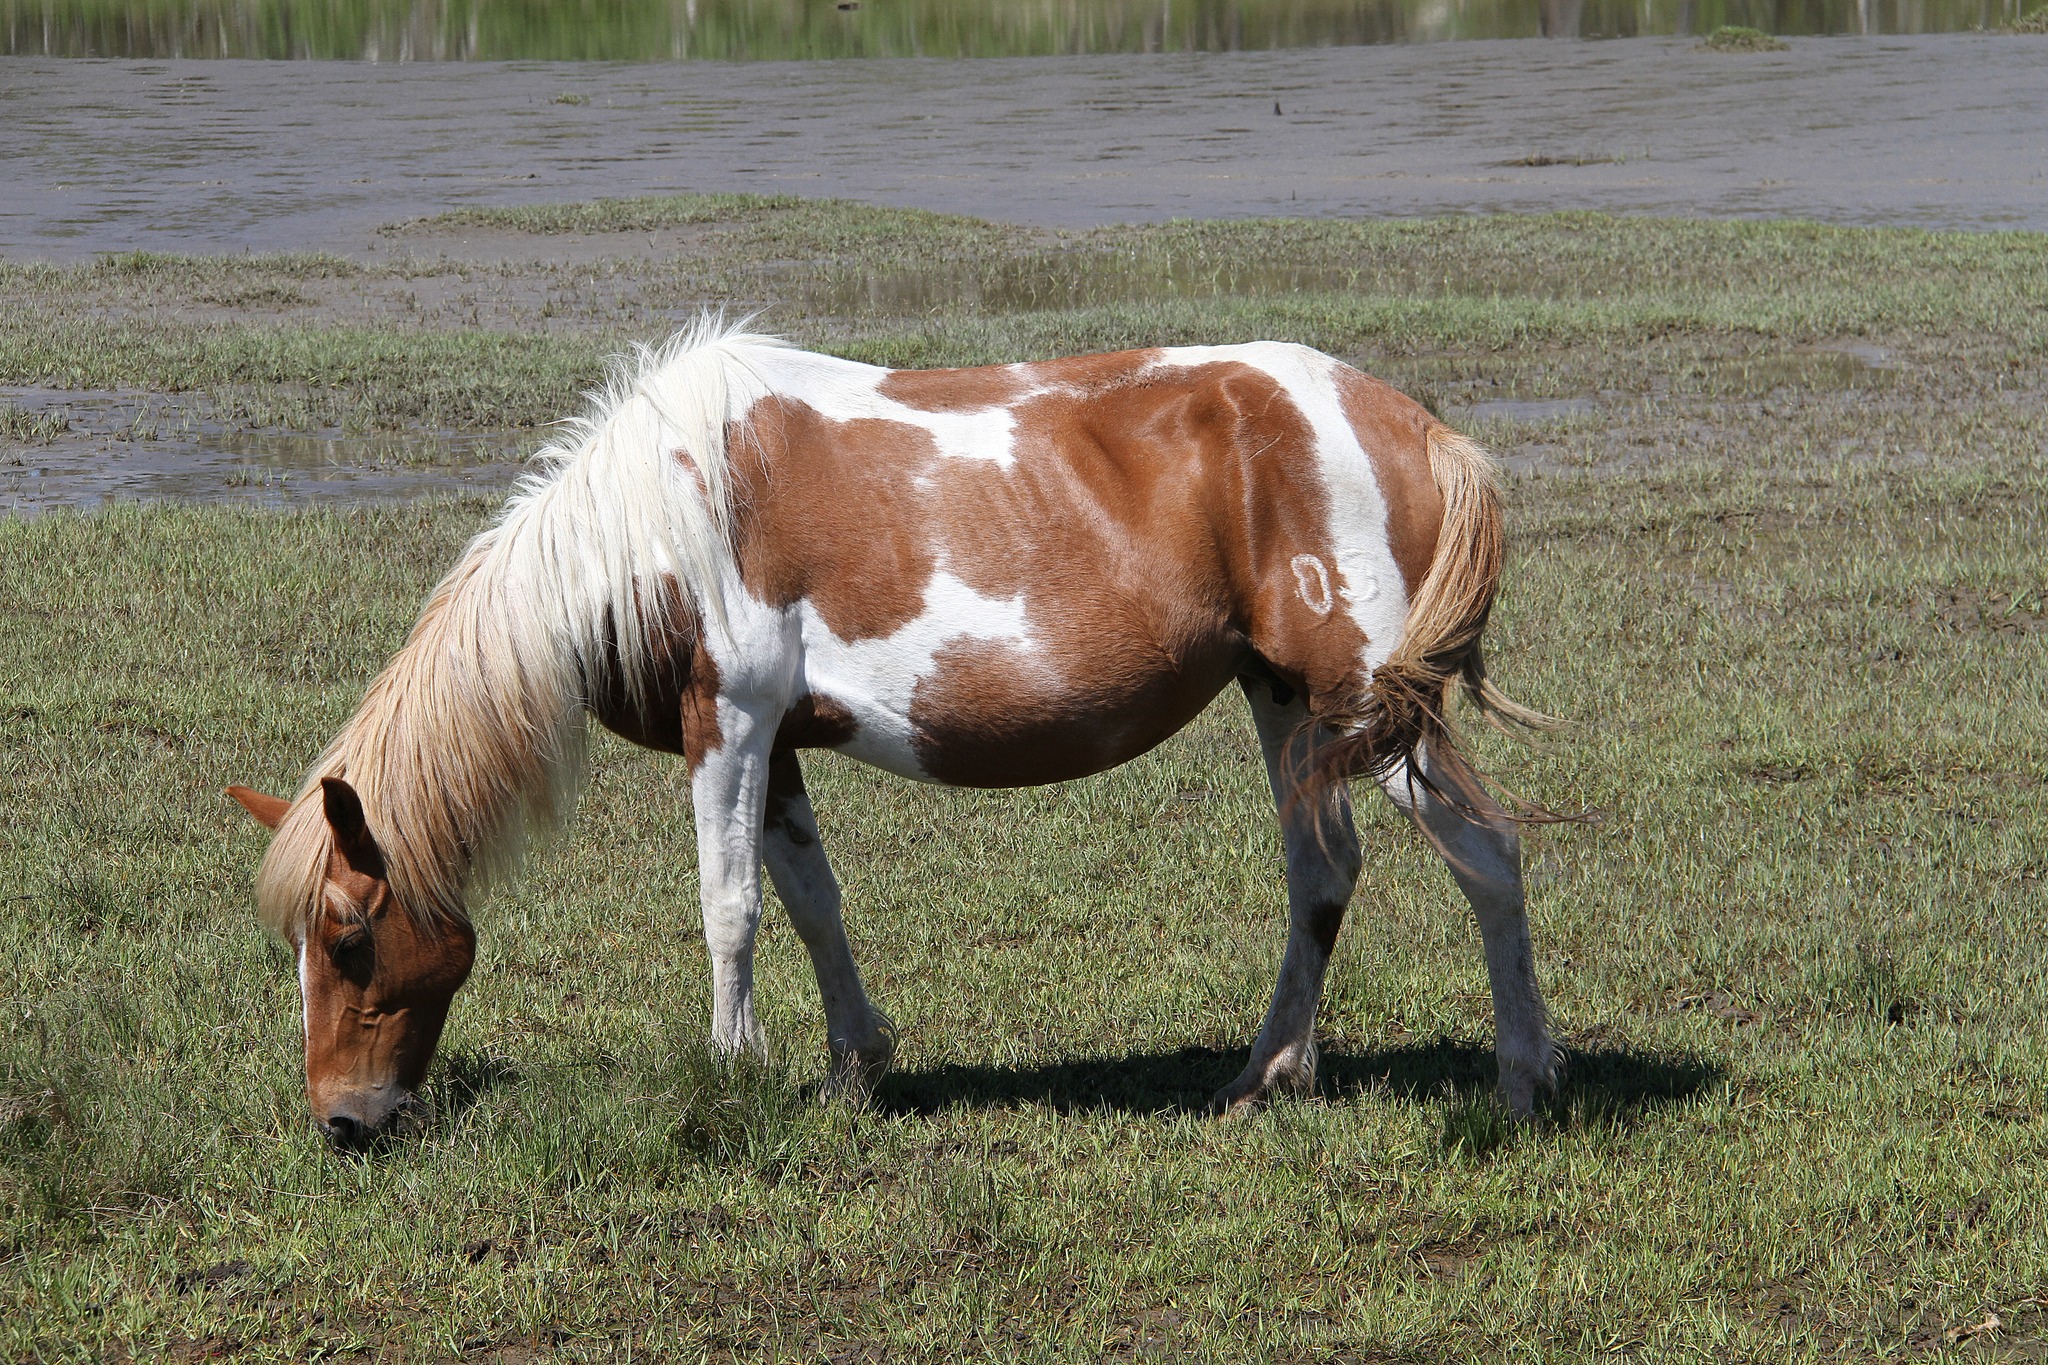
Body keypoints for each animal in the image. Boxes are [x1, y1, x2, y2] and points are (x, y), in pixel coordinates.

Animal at [226, 319, 1561, 1148]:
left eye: (347, 939)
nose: (341, 1122)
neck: (655, 516)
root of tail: (1411, 424)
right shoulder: (776, 749)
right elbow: (810, 901)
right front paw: (850, 1070)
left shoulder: (731, 722)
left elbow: (729, 907)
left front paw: (732, 1077)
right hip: (1287, 699)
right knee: (1320, 875)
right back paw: (1264, 1077)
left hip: (1373, 708)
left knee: (1486, 859)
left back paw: (1522, 1086)